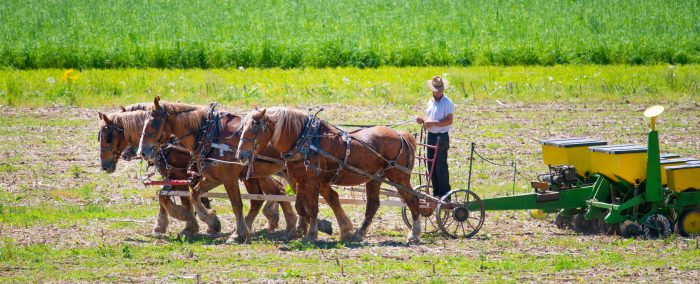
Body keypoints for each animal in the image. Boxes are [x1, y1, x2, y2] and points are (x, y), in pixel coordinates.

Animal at [98, 106, 282, 235]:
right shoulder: (177, 174)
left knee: (272, 192)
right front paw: (169, 224)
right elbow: (168, 196)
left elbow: (179, 198)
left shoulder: (178, 173)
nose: (104, 166)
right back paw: (271, 220)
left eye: (108, 137)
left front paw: (189, 222)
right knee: (272, 192)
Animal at [137, 97, 298, 242]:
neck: (210, 135)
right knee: (273, 194)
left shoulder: (227, 178)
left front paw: (237, 233)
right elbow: (193, 195)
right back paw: (290, 226)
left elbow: (236, 204)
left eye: (154, 123)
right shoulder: (212, 177)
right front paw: (211, 220)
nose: (143, 151)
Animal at [235, 106, 422, 242]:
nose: (240, 155)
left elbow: (313, 207)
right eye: (241, 129)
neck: (304, 141)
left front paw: (312, 234)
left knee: (413, 199)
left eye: (254, 129)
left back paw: (414, 233)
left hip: (398, 176)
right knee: (373, 204)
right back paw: (359, 233)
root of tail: (401, 135)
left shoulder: (313, 181)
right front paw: (311, 228)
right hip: (375, 178)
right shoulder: (301, 180)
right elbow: (301, 207)